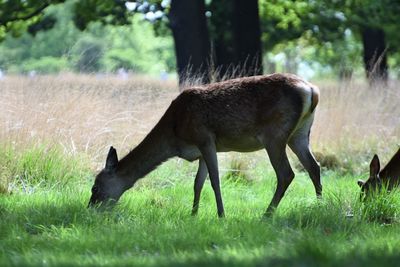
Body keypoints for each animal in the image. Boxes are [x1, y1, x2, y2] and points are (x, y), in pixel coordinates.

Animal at [88, 73, 322, 218]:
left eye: (95, 187)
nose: (90, 209)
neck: (175, 134)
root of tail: (311, 90)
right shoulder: (200, 151)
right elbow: (197, 183)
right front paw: (193, 214)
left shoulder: (205, 138)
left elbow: (215, 181)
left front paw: (221, 215)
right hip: (300, 133)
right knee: (314, 167)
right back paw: (320, 206)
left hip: (274, 134)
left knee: (286, 173)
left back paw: (266, 215)